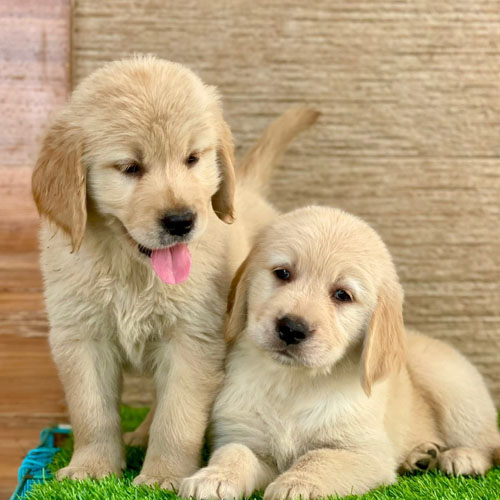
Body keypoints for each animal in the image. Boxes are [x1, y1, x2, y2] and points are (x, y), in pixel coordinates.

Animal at [32, 55, 319, 488]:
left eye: (192, 159)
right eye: (130, 167)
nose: (181, 220)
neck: (131, 268)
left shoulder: (192, 339)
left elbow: (177, 417)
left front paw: (163, 475)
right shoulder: (81, 336)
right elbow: (92, 412)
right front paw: (91, 468)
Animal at [179, 206, 500, 499]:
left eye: (342, 295)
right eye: (283, 273)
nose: (291, 328)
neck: (293, 382)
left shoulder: (365, 453)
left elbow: (320, 458)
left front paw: (296, 484)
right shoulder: (246, 435)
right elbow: (234, 452)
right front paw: (213, 477)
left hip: (450, 384)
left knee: (487, 441)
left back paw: (462, 457)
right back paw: (420, 456)